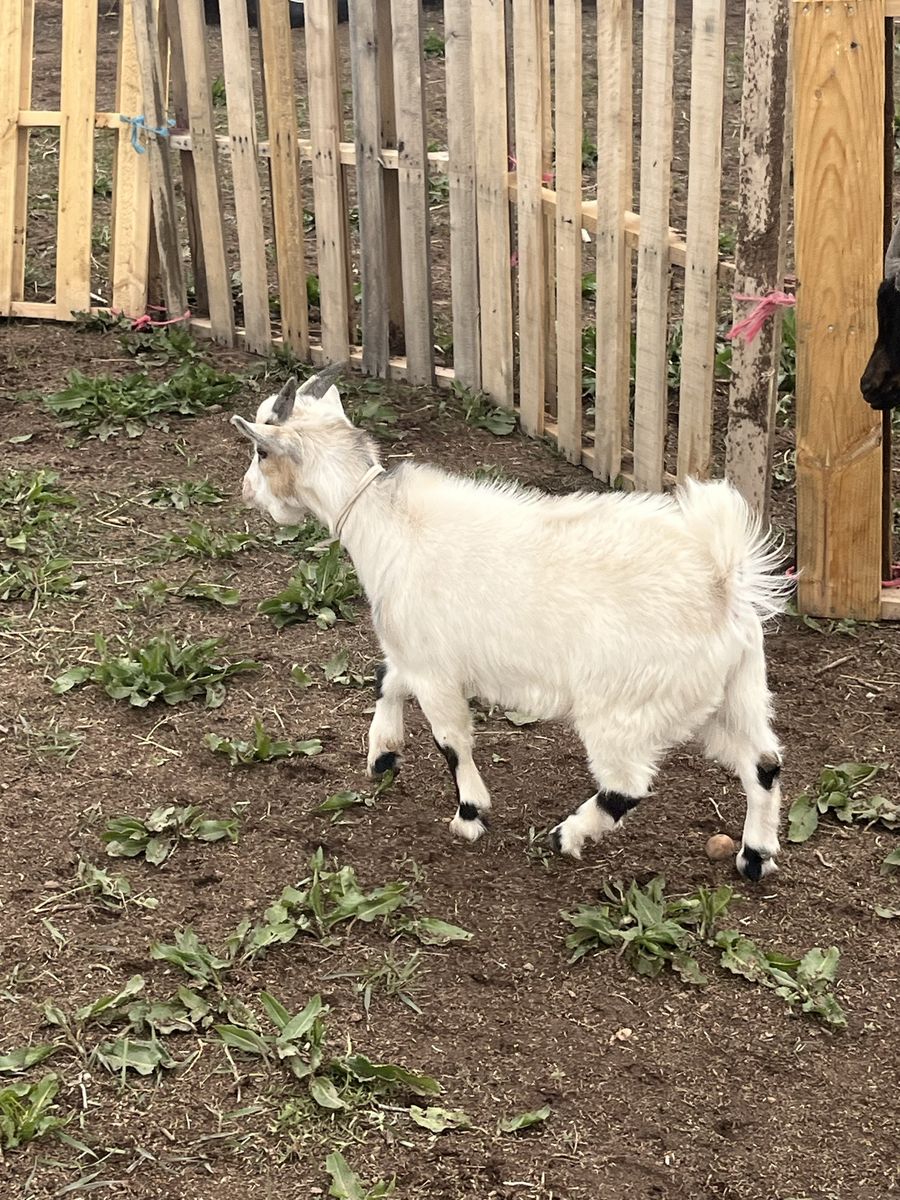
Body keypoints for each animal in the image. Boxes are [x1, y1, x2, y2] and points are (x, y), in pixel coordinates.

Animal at [231, 366, 790, 881]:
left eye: (261, 452)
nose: (245, 492)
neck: (385, 522)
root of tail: (720, 579)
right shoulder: (413, 653)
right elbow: (385, 679)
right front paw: (383, 756)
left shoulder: (434, 670)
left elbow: (451, 741)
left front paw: (469, 814)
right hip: (738, 692)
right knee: (764, 763)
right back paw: (754, 856)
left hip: (624, 708)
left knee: (627, 785)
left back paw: (567, 834)